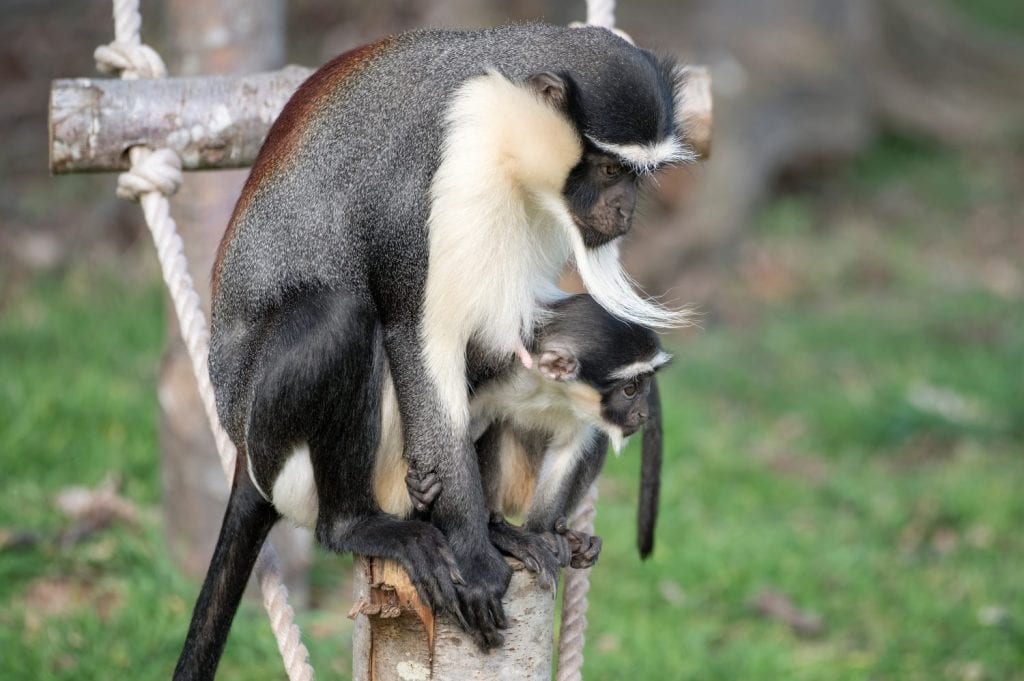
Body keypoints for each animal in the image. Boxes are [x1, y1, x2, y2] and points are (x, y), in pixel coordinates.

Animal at [405, 294, 671, 589]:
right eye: (630, 390)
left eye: (645, 384)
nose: (643, 413)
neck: (549, 390)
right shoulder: (496, 369)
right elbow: (458, 430)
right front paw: (422, 498)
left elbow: (567, 451)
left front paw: (542, 534)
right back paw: (496, 530)